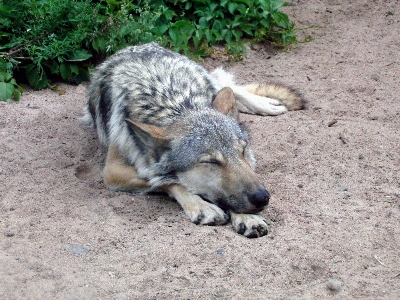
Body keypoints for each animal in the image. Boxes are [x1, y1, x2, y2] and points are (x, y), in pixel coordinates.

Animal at [83, 43, 304, 238]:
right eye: (211, 162)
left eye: (242, 151)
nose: (262, 198)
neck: (177, 104)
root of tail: (133, 47)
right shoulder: (113, 172)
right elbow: (168, 180)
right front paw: (203, 206)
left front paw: (247, 217)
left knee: (228, 86)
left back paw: (267, 103)